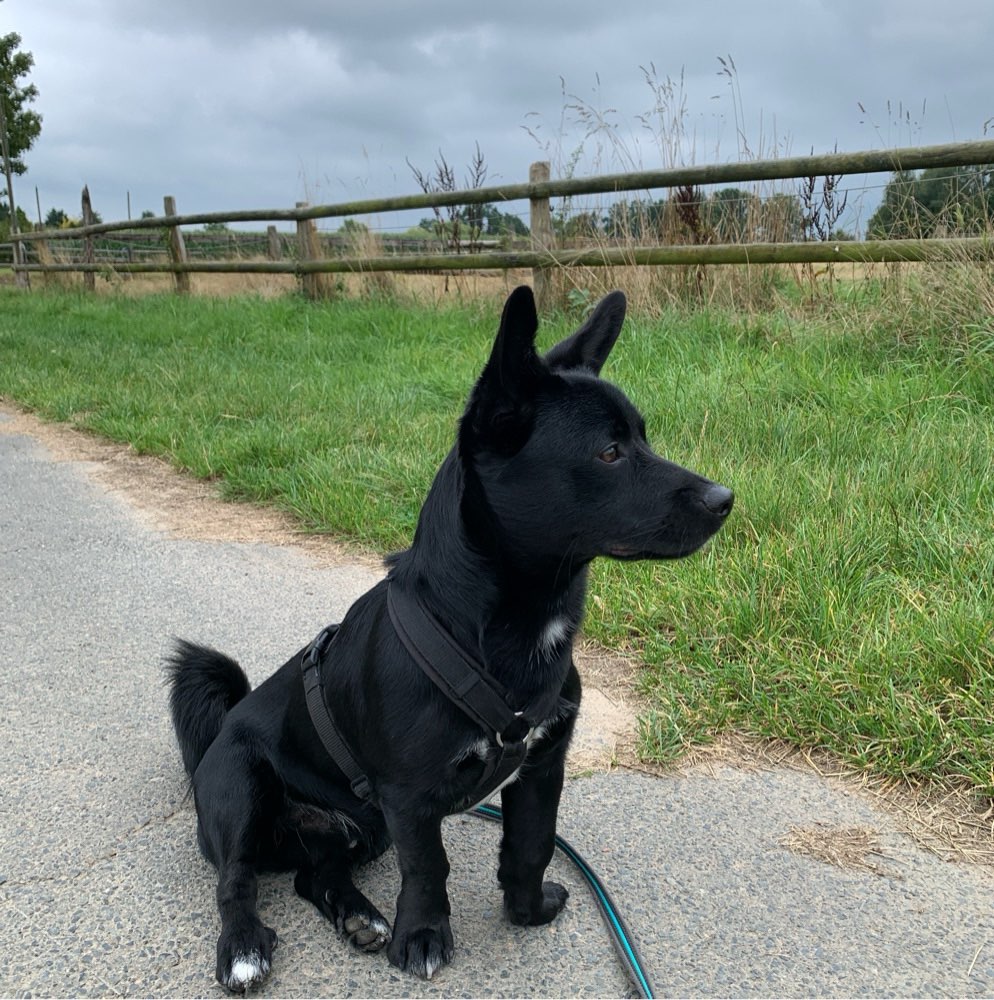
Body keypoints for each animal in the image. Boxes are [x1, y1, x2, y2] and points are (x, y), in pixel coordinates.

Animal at [167, 286, 732, 988]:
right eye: (609, 452)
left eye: (644, 438)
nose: (725, 498)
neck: (501, 627)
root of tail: (221, 729)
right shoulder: (409, 799)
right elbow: (429, 866)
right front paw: (424, 935)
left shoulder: (541, 766)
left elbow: (532, 845)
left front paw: (527, 910)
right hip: (240, 792)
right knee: (236, 882)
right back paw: (244, 946)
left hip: (360, 829)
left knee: (313, 875)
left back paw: (359, 916)